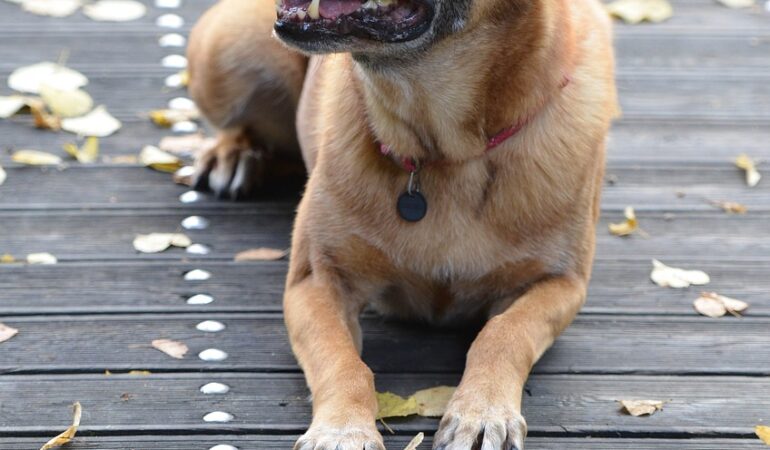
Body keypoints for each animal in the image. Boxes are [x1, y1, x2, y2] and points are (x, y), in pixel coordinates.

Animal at [189, 1, 616, 448]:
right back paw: (232, 153)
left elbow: (503, 334)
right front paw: (343, 428)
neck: (446, 152)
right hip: (226, 49)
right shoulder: (318, 280)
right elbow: (344, 362)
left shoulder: (559, 284)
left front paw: (482, 411)